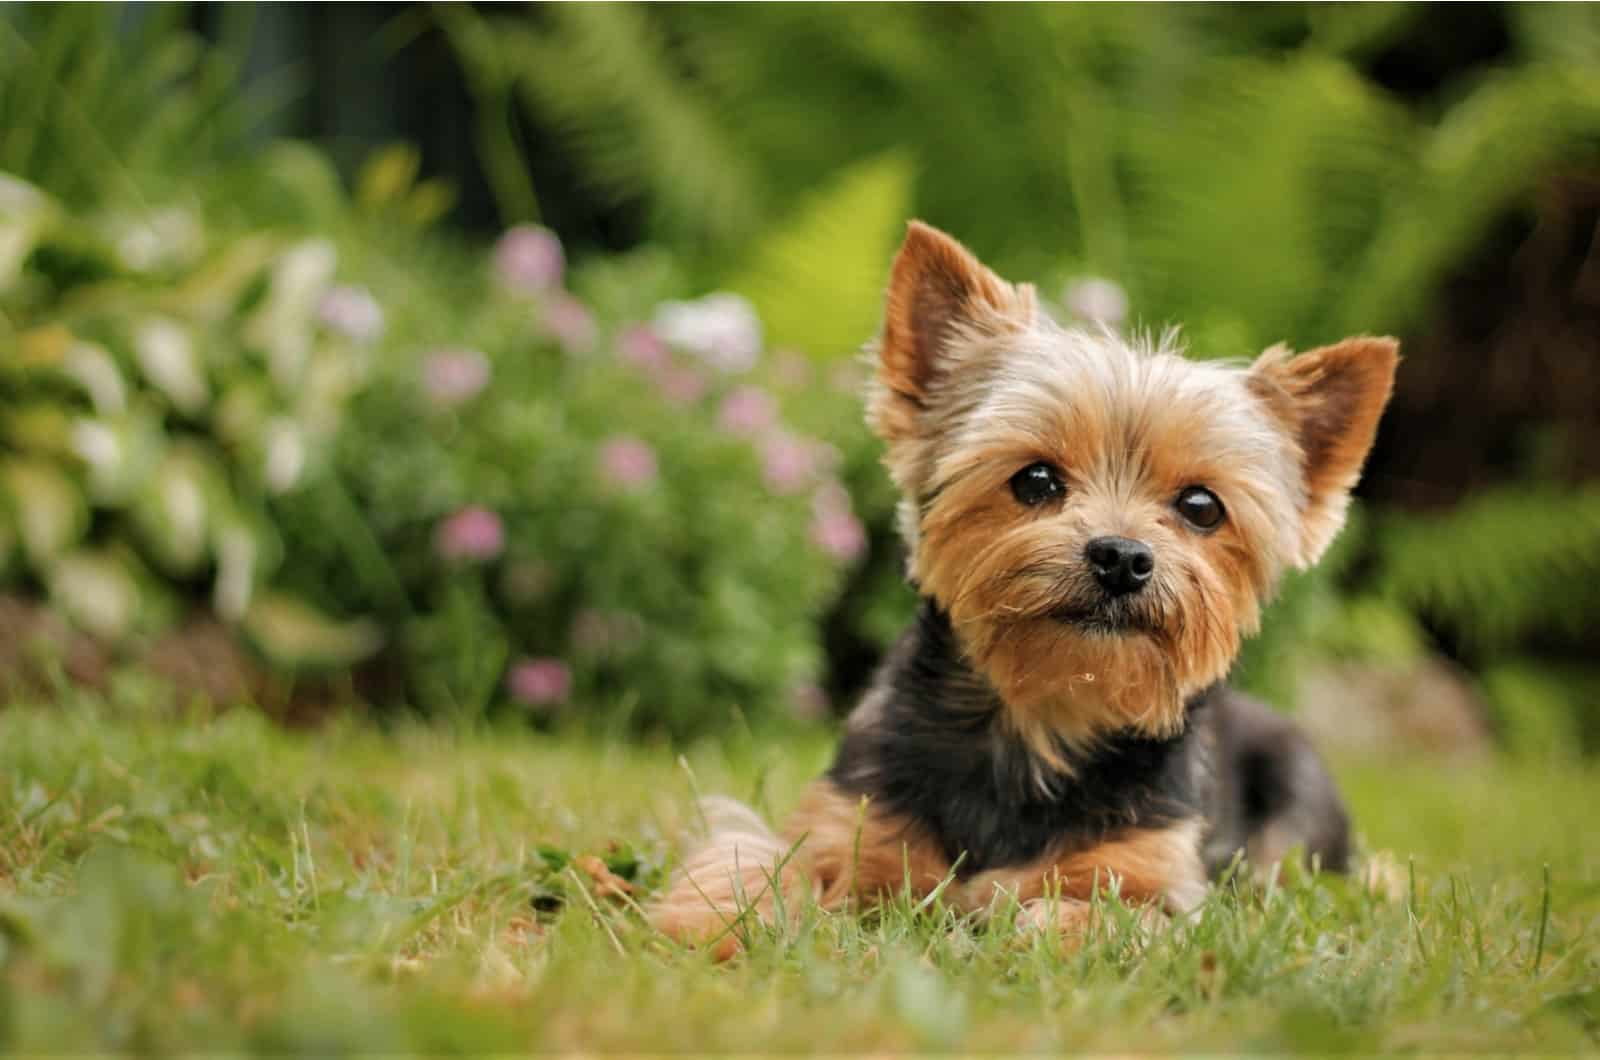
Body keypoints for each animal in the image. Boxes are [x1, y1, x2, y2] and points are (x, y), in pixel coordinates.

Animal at [649, 219, 1401, 947]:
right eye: (1035, 479)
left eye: (1201, 506)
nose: (1121, 557)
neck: (1043, 717)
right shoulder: (848, 818)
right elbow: (757, 857)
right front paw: (715, 920)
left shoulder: (1160, 878)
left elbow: (1099, 912)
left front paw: (1022, 917)